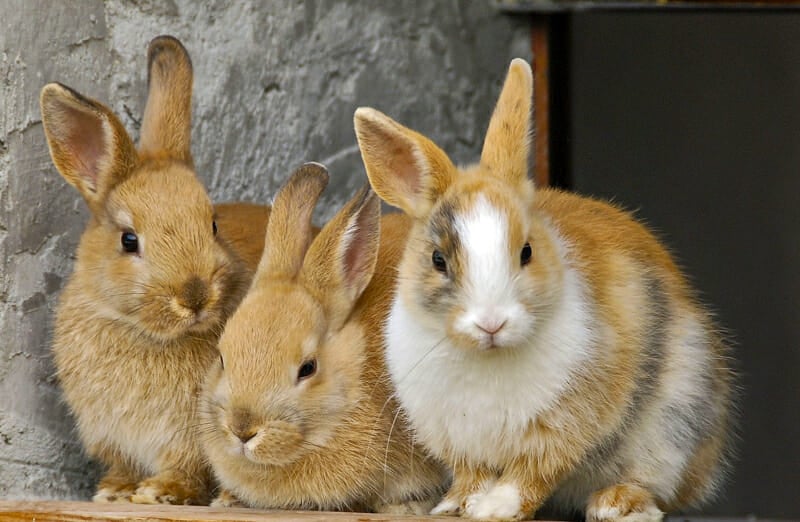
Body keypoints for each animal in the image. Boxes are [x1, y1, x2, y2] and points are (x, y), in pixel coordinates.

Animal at [40, 34, 270, 502]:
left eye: (212, 224)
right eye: (129, 240)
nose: (195, 296)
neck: (146, 333)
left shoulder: (192, 437)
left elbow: (188, 467)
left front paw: (161, 492)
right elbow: (124, 465)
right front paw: (114, 491)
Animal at [354, 59, 736, 516]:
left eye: (527, 252)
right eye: (438, 260)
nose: (492, 324)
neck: (486, 358)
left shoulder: (561, 426)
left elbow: (532, 473)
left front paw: (496, 508)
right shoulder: (456, 439)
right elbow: (471, 474)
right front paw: (458, 506)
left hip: (675, 424)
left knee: (655, 485)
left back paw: (616, 504)